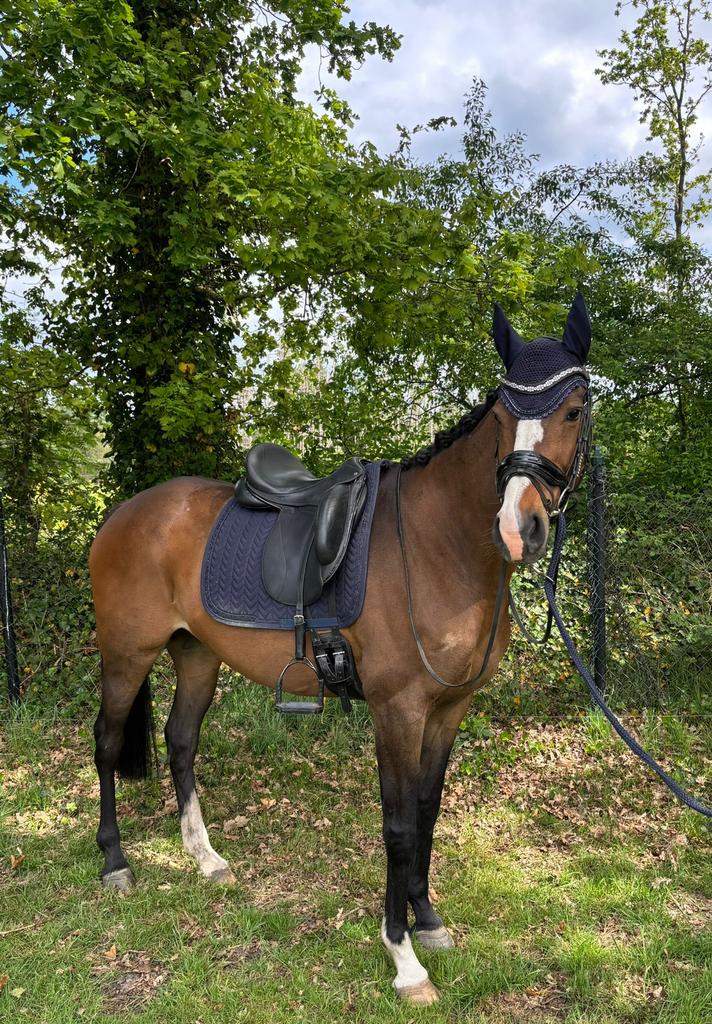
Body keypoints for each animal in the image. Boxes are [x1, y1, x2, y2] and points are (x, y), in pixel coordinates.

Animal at [90, 295, 592, 1005]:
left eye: (573, 410)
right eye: (501, 415)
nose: (518, 529)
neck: (438, 545)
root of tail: (123, 513)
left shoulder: (448, 710)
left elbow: (428, 810)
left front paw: (428, 919)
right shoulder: (397, 710)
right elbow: (398, 824)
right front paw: (404, 956)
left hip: (196, 656)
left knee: (180, 740)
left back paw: (204, 857)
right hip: (127, 654)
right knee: (107, 742)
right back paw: (114, 861)